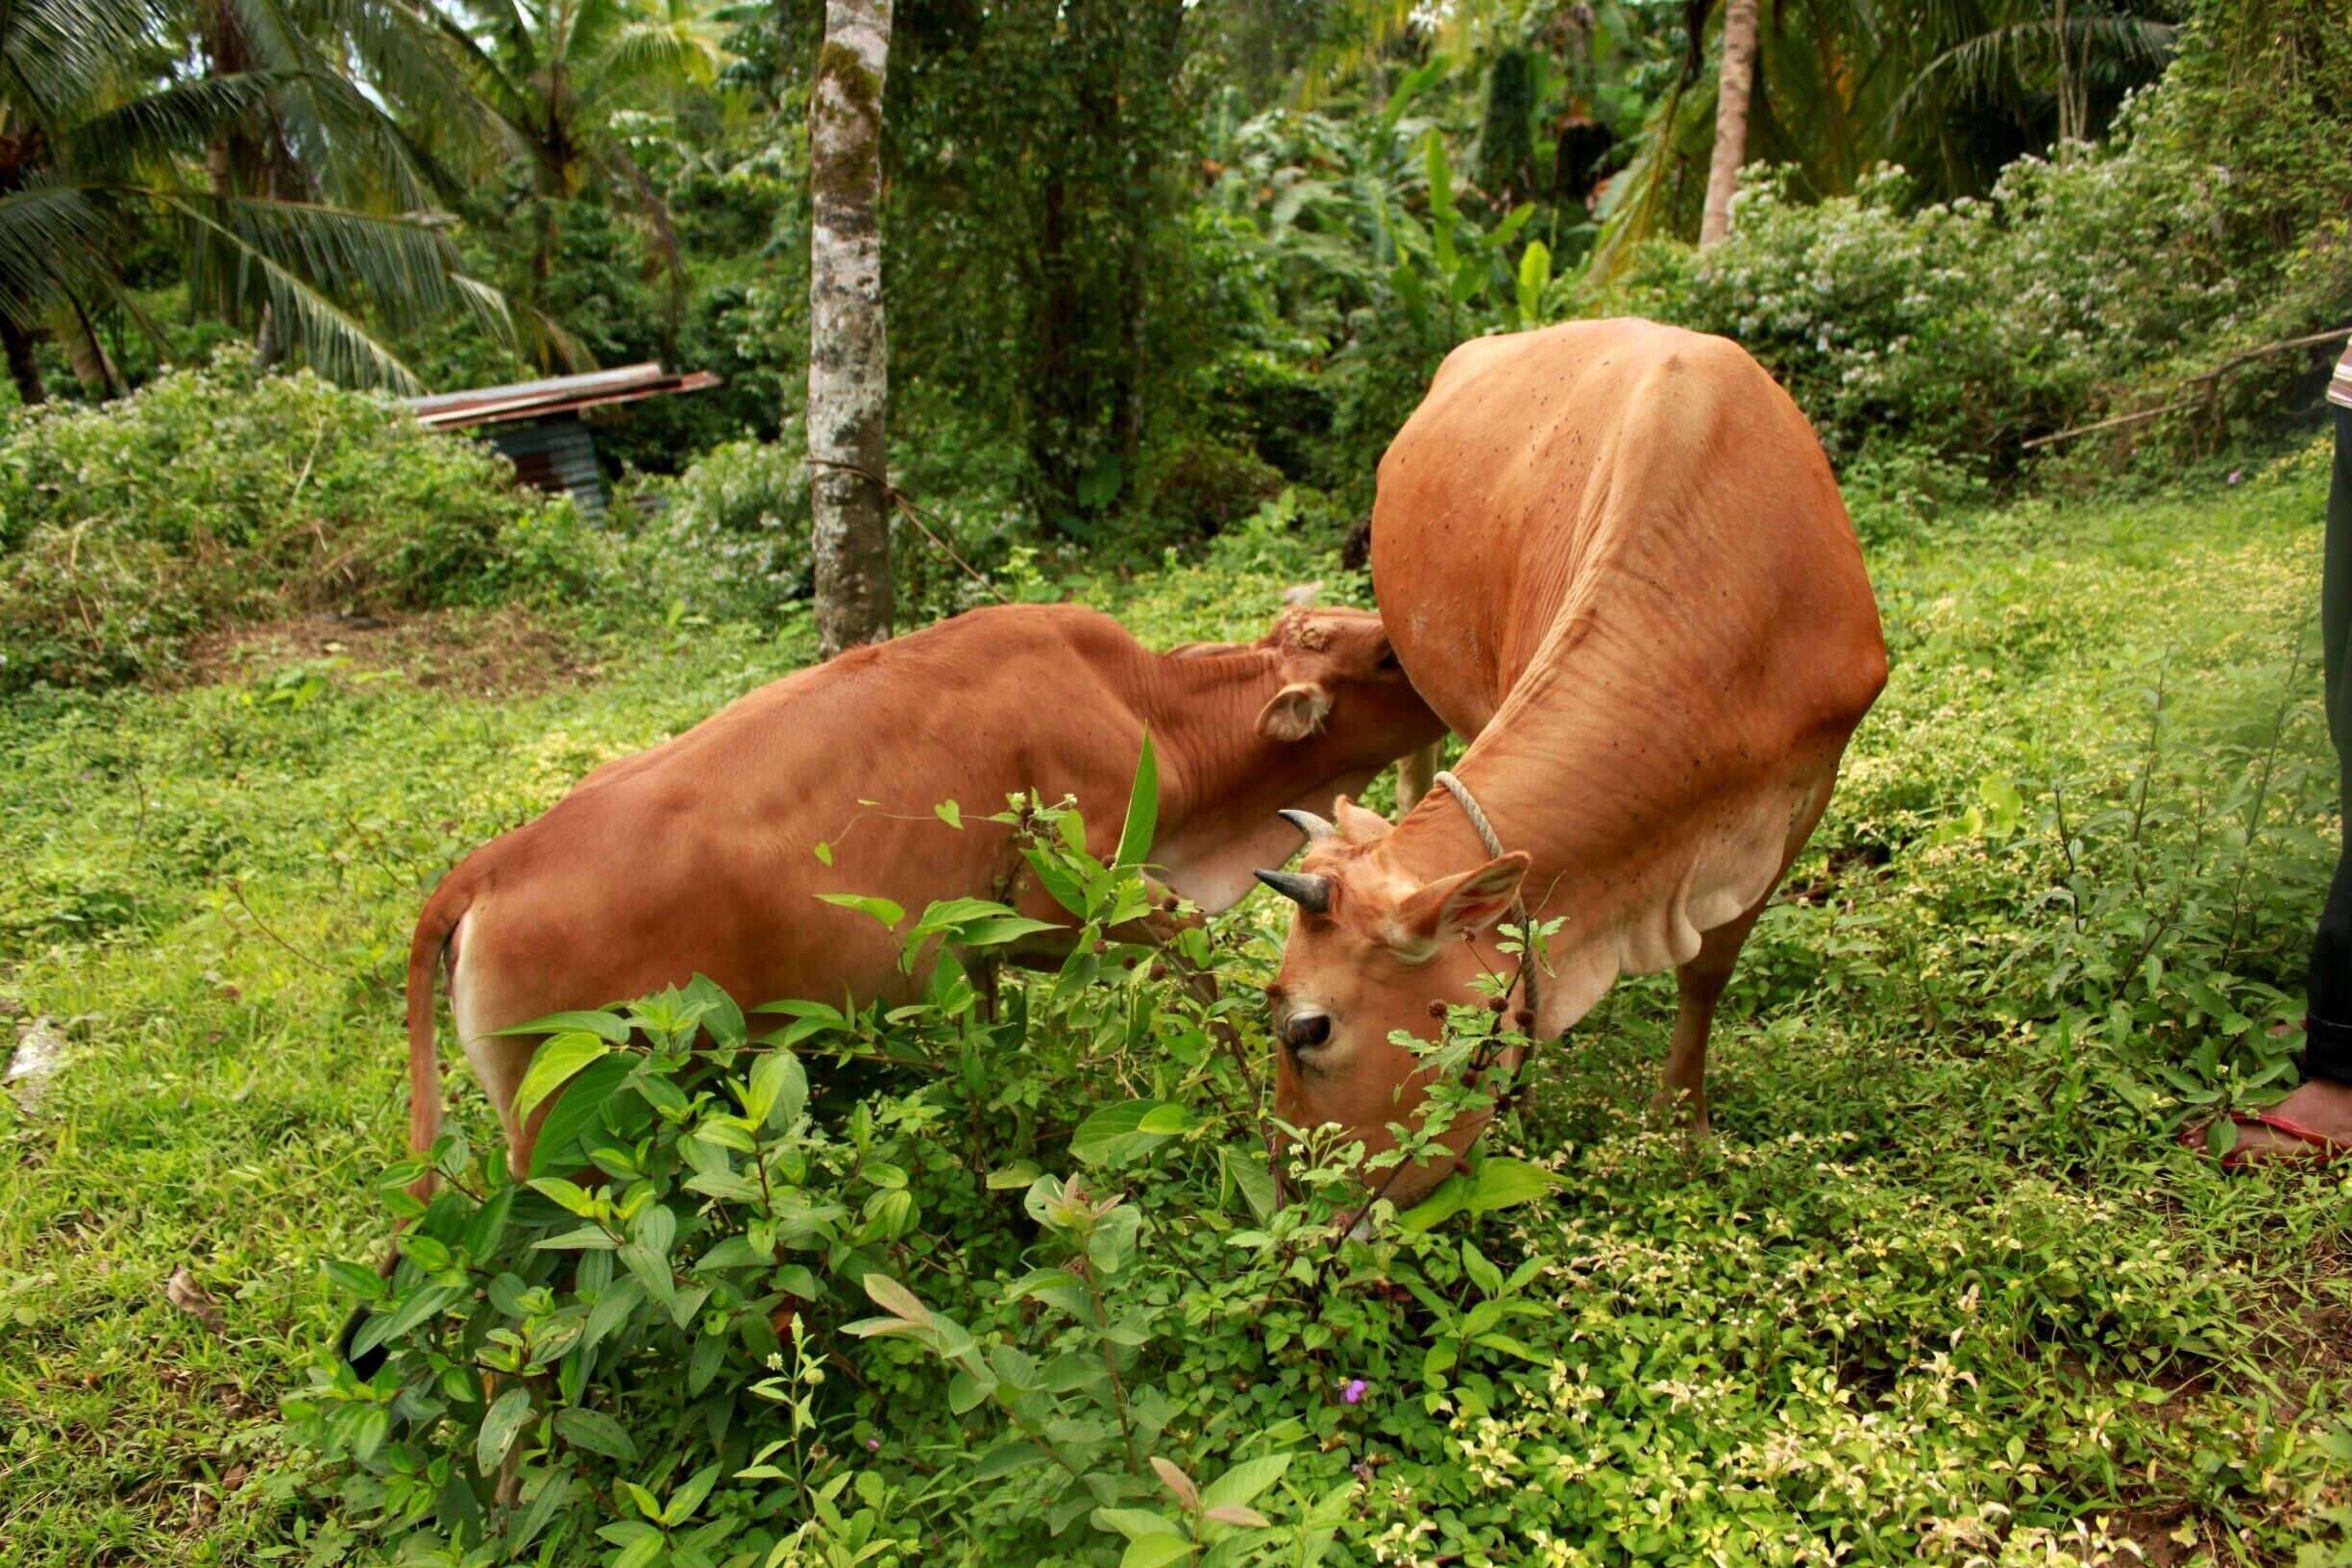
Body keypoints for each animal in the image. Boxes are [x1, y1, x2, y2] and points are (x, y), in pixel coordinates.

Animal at [403, 600, 1446, 1183]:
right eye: (1386, 657)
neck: (1146, 709)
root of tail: (487, 866)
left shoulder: (975, 943)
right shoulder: (1067, 902)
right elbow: (1196, 962)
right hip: (570, 1126)